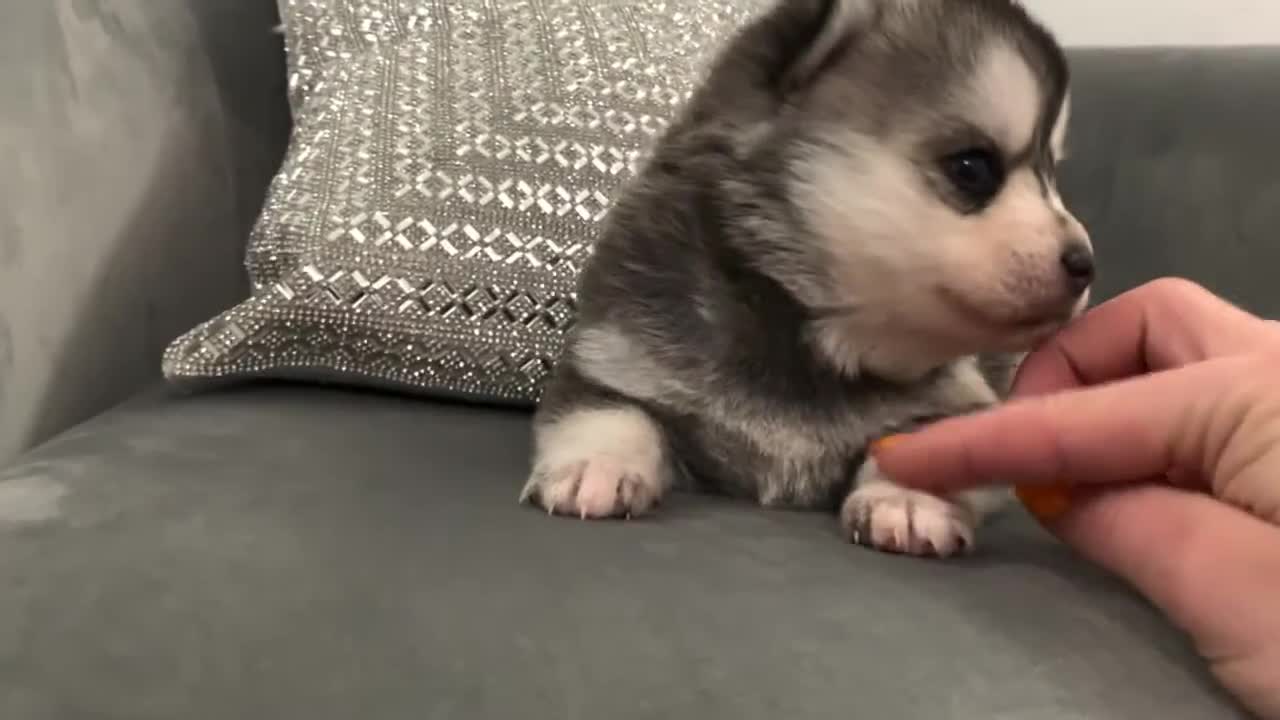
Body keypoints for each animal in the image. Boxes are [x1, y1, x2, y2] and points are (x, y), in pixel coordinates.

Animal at [517, 0, 1090, 556]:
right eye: (973, 168)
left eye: (1054, 179)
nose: (1085, 263)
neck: (820, 341)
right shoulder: (610, 356)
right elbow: (611, 413)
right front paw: (597, 463)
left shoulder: (963, 405)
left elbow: (927, 446)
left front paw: (907, 498)